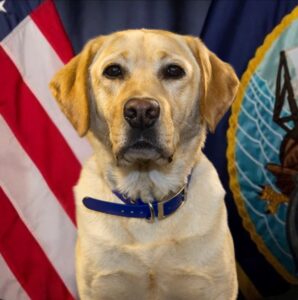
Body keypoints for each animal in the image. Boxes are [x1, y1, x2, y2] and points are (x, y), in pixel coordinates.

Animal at [50, 28, 239, 300]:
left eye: (173, 71)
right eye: (113, 71)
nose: (141, 112)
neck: (147, 199)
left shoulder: (213, 288)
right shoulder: (101, 287)